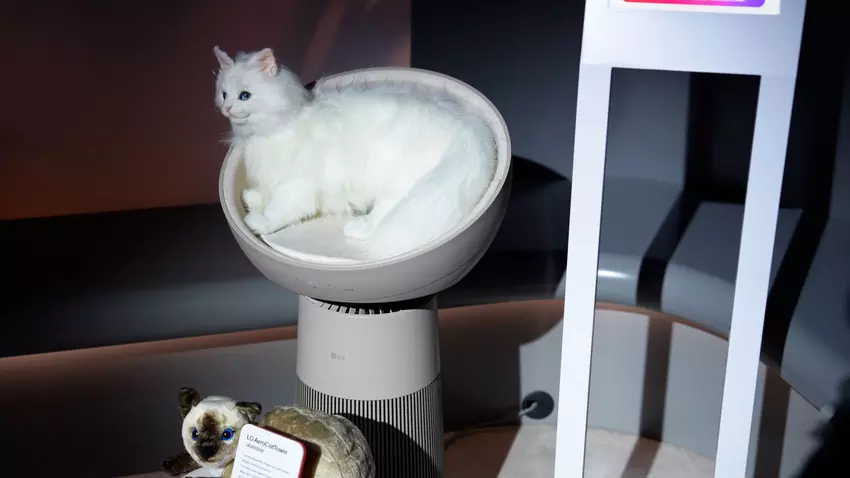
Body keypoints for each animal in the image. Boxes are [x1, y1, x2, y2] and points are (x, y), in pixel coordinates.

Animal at [213, 46, 497, 260]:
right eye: (224, 94)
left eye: (245, 96)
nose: (227, 108)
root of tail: (465, 125)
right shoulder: (273, 177)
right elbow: (264, 196)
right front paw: (252, 199)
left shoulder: (297, 187)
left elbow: (278, 211)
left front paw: (257, 221)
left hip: (396, 184)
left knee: (386, 215)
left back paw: (357, 230)